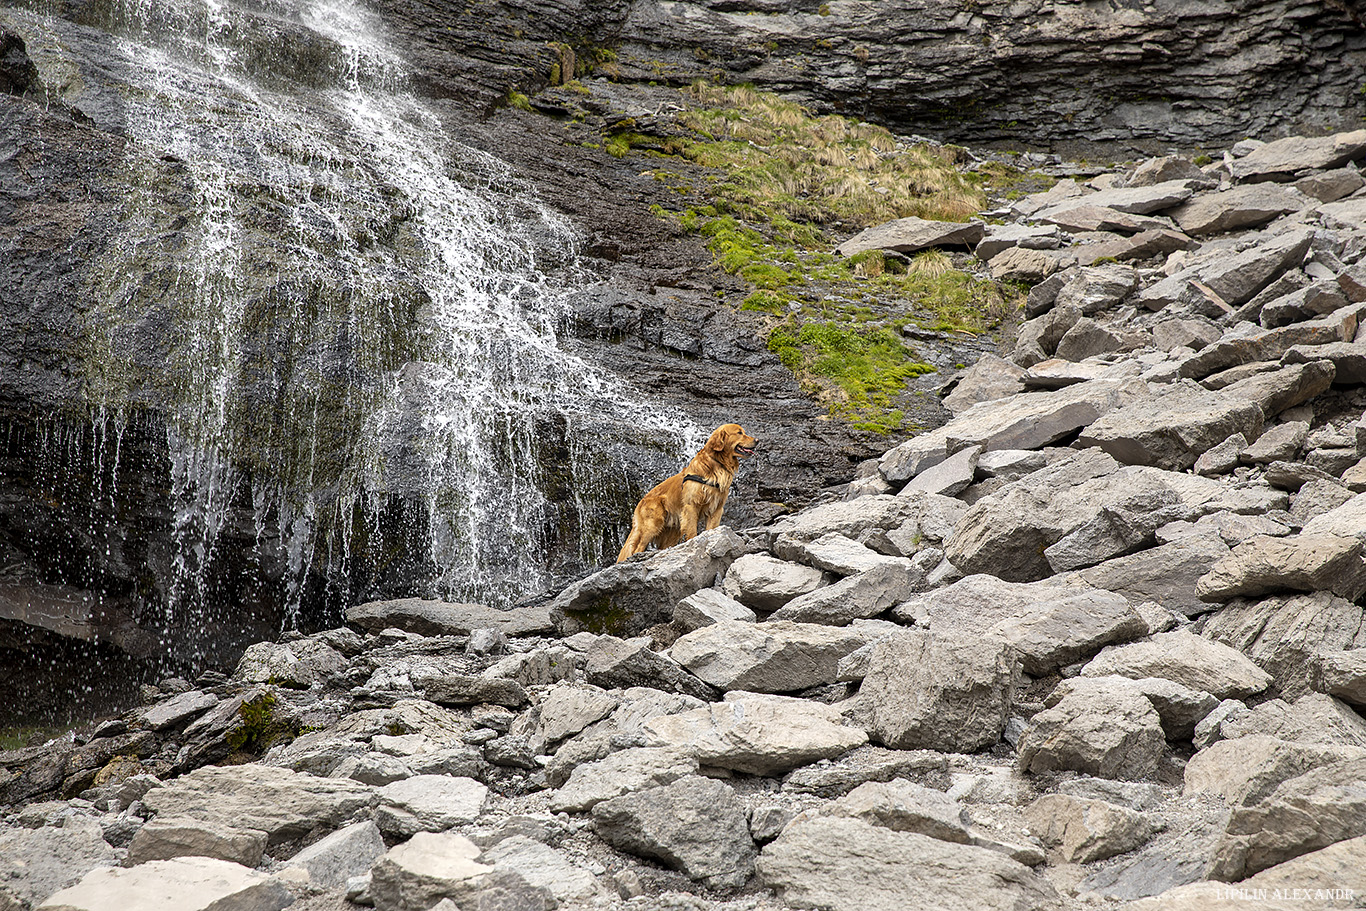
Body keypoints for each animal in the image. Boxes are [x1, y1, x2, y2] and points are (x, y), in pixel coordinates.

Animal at [620, 423, 759, 562]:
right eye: (739, 433)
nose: (757, 440)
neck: (717, 464)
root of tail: (641, 501)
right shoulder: (691, 506)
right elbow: (692, 531)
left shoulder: (716, 509)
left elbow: (711, 529)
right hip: (652, 524)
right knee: (637, 547)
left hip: (671, 532)